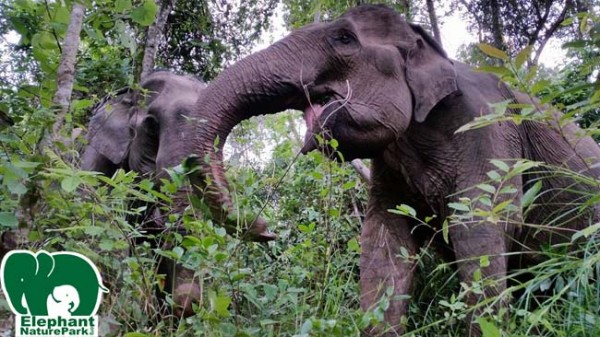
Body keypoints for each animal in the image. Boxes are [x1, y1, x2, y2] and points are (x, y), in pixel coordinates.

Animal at [185, 5, 600, 336]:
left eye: (343, 38)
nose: (264, 228)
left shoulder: (488, 131)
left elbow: (479, 227)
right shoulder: (389, 165)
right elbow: (383, 242)